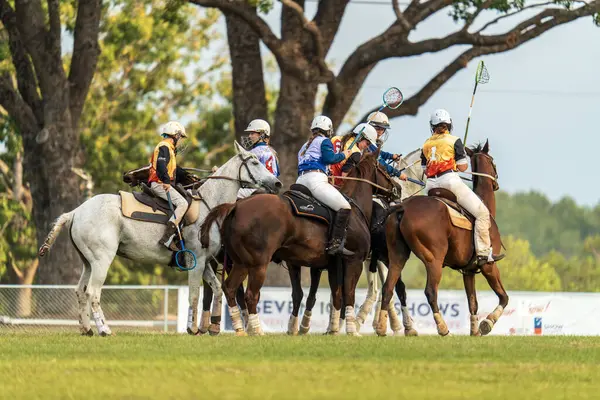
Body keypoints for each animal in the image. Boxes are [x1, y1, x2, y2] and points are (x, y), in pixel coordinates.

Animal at [37, 142, 282, 336]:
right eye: (254, 162)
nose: (277, 183)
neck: (209, 206)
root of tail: (75, 212)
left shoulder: (205, 262)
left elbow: (216, 289)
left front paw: (210, 328)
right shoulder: (196, 261)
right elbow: (194, 294)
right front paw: (192, 328)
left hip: (87, 262)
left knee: (80, 290)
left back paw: (87, 329)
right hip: (101, 259)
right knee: (93, 292)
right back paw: (104, 329)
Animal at [202, 152, 398, 336]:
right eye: (384, 167)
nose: (396, 189)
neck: (355, 210)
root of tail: (236, 206)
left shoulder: (329, 264)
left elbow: (332, 295)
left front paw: (331, 329)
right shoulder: (353, 261)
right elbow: (348, 294)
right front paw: (351, 331)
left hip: (241, 262)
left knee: (229, 288)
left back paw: (239, 329)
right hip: (258, 264)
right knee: (250, 294)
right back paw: (256, 330)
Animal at [378, 141, 508, 338]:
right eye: (492, 161)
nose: (496, 183)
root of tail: (403, 208)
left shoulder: (468, 270)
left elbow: (473, 302)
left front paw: (474, 331)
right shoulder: (489, 265)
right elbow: (503, 297)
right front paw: (487, 323)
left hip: (396, 256)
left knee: (388, 288)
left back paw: (382, 327)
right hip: (434, 259)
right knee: (431, 291)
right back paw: (443, 328)